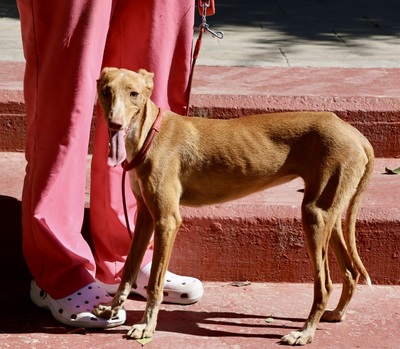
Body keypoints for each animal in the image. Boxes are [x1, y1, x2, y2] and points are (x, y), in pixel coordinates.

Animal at [94, 66, 376, 344]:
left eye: (133, 93)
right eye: (106, 91)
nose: (115, 123)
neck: (149, 133)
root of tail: (357, 135)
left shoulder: (167, 219)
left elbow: (155, 282)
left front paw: (146, 326)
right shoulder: (146, 216)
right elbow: (128, 270)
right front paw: (111, 309)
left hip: (314, 215)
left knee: (325, 284)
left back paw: (305, 333)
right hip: (330, 214)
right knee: (350, 271)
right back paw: (337, 313)